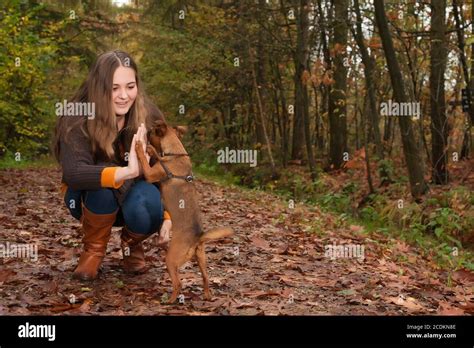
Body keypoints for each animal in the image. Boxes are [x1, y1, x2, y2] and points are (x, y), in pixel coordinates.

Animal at [135, 119, 233, 302]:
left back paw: (170, 300)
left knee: (178, 284)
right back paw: (207, 295)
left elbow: (147, 161)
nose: (146, 134)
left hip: (171, 260)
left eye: (151, 132)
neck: (176, 152)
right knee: (206, 278)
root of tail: (197, 238)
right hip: (202, 259)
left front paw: (143, 148)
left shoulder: (151, 173)